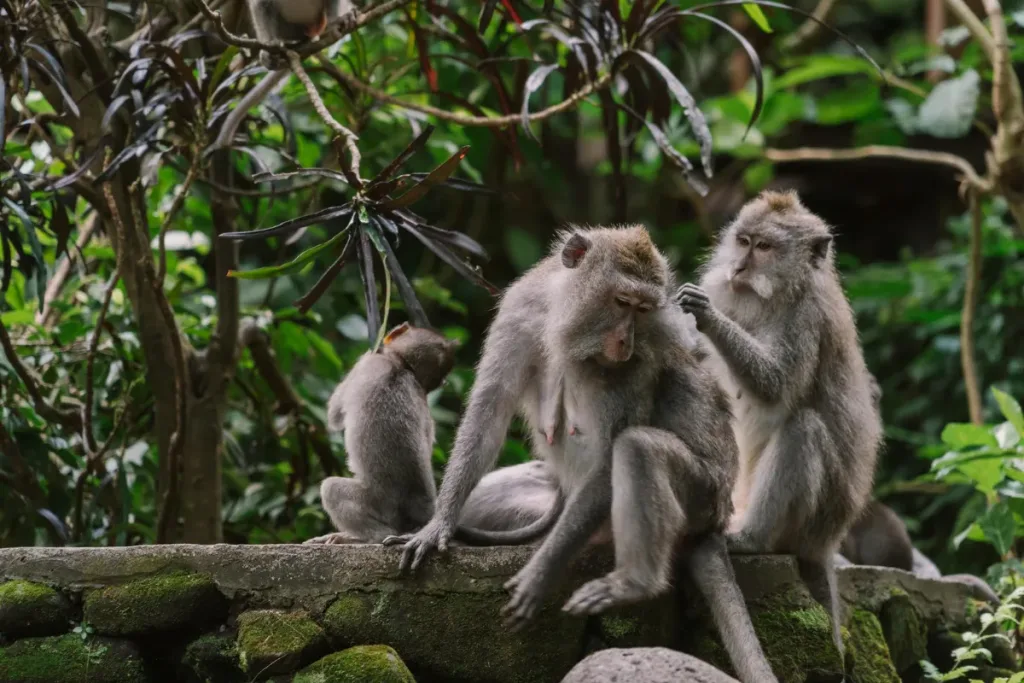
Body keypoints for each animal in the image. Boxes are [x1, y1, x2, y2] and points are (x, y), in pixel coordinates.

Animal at [305, 322, 560, 546]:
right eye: (441, 378)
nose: (446, 381)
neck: (401, 365)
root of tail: (419, 513)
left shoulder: (366, 364)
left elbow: (334, 415)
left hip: (379, 506)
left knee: (331, 489)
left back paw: (364, 537)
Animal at [384, 226, 779, 683]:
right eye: (621, 301)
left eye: (643, 309)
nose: (625, 342)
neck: (563, 317)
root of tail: (717, 520)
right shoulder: (522, 310)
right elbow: (489, 411)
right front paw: (438, 526)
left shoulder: (634, 362)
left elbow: (610, 456)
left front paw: (539, 574)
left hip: (704, 495)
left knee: (637, 449)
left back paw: (633, 581)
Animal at [676, 190, 883, 660]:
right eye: (743, 241)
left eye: (765, 248)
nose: (737, 268)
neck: (774, 295)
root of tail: (827, 542)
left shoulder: (806, 319)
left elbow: (775, 387)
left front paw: (708, 317)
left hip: (815, 519)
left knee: (803, 428)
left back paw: (752, 538)